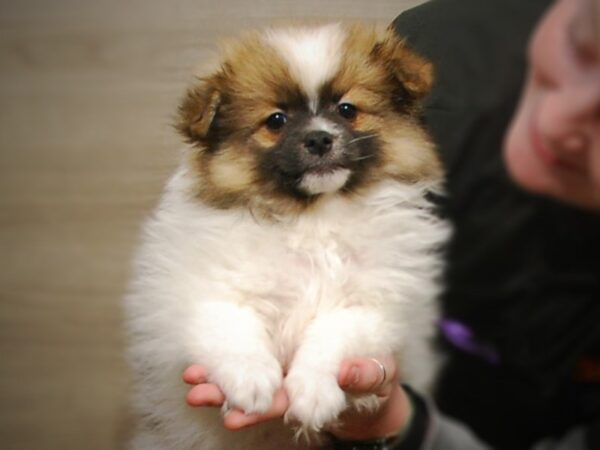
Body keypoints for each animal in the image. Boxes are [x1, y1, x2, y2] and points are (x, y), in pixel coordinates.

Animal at [124, 22, 448, 448]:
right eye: (275, 121)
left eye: (347, 109)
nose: (319, 139)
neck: (312, 218)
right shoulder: (197, 292)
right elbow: (233, 325)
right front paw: (251, 381)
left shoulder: (380, 304)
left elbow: (334, 332)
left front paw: (314, 392)